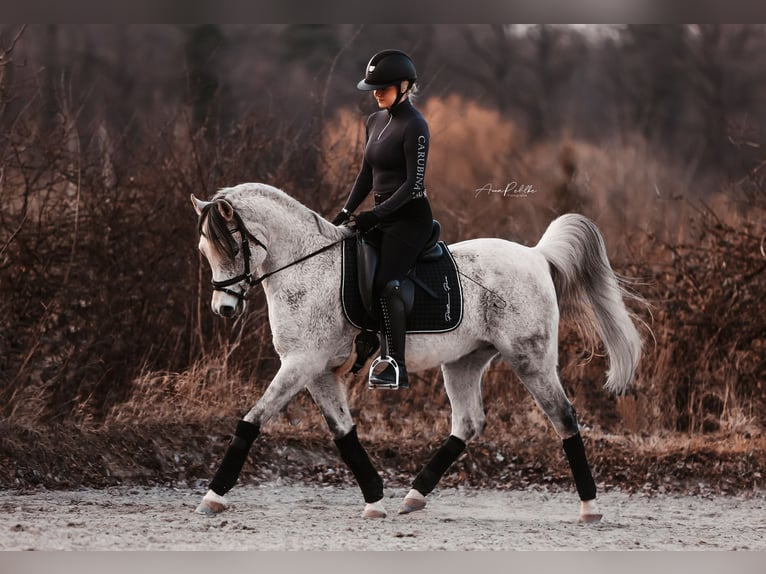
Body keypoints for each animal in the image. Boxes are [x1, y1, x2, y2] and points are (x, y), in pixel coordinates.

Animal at [190, 182, 643, 522]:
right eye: (204, 251)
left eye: (231, 247)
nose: (223, 309)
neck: (306, 267)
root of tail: (535, 255)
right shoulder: (317, 371)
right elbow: (343, 434)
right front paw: (375, 498)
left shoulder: (301, 364)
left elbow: (251, 421)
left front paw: (213, 496)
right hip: (463, 362)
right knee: (468, 423)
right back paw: (414, 495)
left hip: (531, 361)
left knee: (563, 418)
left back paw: (590, 507)